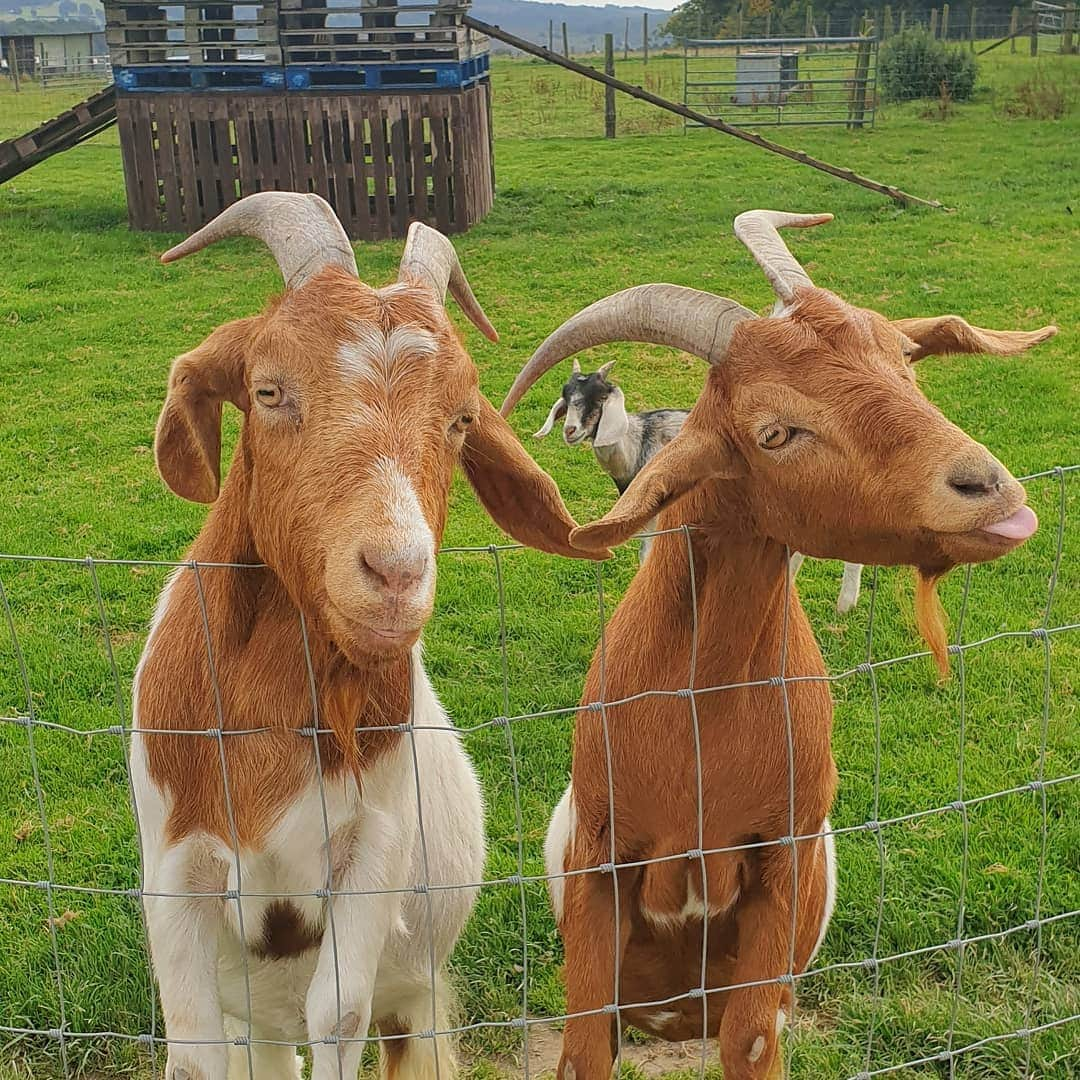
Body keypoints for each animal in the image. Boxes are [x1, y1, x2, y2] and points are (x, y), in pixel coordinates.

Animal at [131, 194, 604, 1080]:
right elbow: (192, 1043)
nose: (396, 571)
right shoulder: (175, 860)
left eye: (460, 419)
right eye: (268, 389)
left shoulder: (373, 847)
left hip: (412, 994)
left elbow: (337, 1012)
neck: (264, 722)